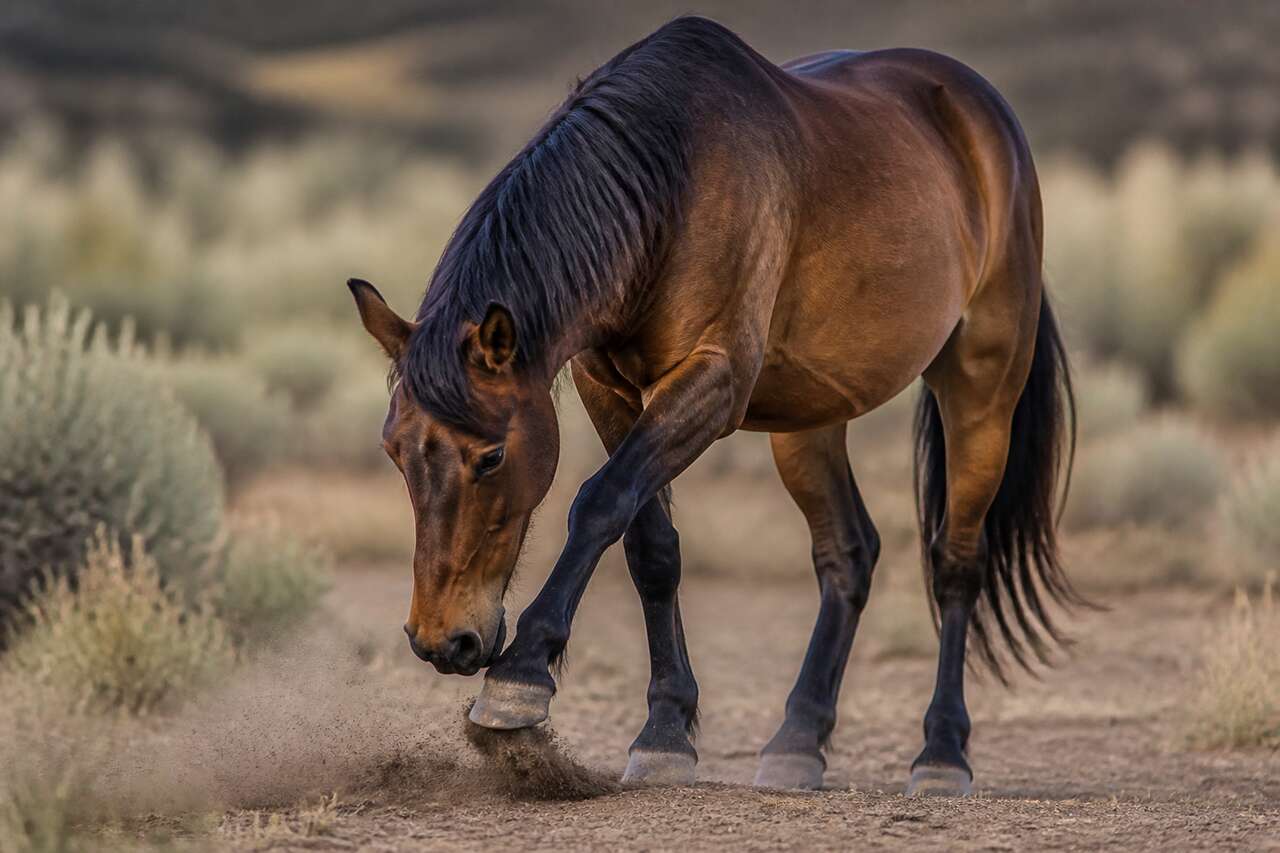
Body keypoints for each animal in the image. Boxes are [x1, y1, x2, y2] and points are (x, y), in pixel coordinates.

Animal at [347, 15, 1082, 796]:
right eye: (395, 451)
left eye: (489, 457)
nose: (441, 639)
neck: (669, 184)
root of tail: (982, 113)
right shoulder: (607, 388)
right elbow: (649, 544)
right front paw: (665, 732)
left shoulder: (713, 381)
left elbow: (597, 504)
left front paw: (519, 678)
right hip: (809, 419)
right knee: (848, 553)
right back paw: (797, 741)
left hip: (980, 384)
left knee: (956, 561)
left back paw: (941, 753)